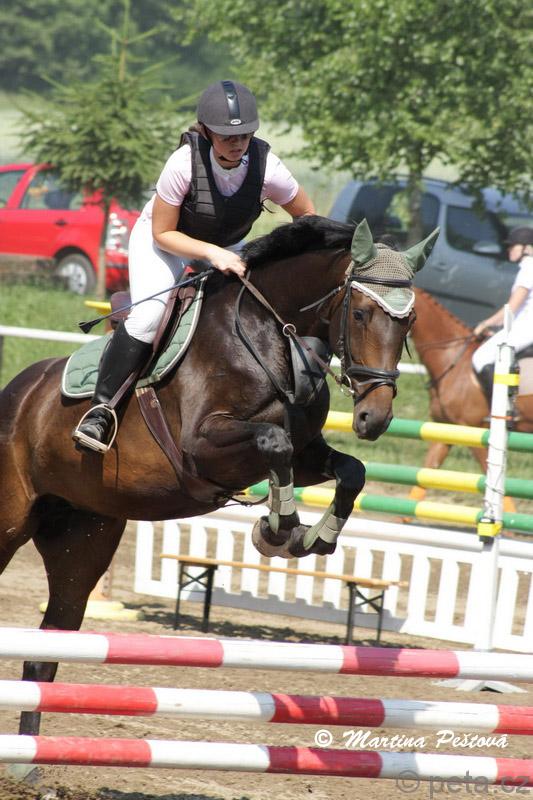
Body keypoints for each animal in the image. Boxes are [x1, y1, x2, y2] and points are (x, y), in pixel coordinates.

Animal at [0, 215, 436, 737]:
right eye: (362, 315)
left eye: (410, 321)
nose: (375, 418)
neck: (271, 335)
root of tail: (17, 392)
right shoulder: (202, 448)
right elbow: (273, 441)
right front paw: (278, 529)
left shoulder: (307, 454)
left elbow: (350, 470)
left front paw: (313, 538)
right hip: (10, 522)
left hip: (82, 538)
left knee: (46, 651)